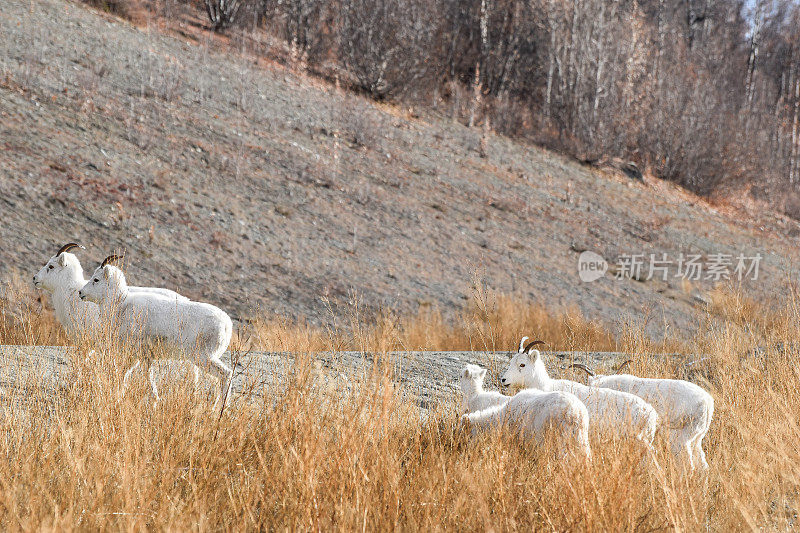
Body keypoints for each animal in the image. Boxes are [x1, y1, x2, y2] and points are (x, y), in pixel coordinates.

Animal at [78, 256, 233, 404]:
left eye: (96, 279)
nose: (80, 293)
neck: (121, 306)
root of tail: (226, 325)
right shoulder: (143, 358)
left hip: (203, 358)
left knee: (226, 374)